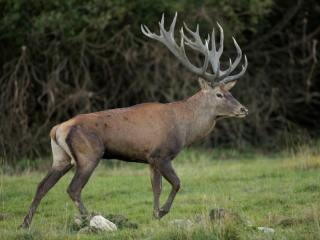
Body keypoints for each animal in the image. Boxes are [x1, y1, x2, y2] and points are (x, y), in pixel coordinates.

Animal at [20, 12, 248, 227]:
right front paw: (162, 212)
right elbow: (176, 183)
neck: (183, 127)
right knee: (73, 188)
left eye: (229, 91)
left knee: (41, 186)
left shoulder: (150, 158)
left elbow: (156, 187)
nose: (243, 109)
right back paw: (90, 216)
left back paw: (25, 223)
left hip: (60, 158)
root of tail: (57, 129)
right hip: (88, 154)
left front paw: (155, 215)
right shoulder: (160, 153)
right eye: (219, 95)